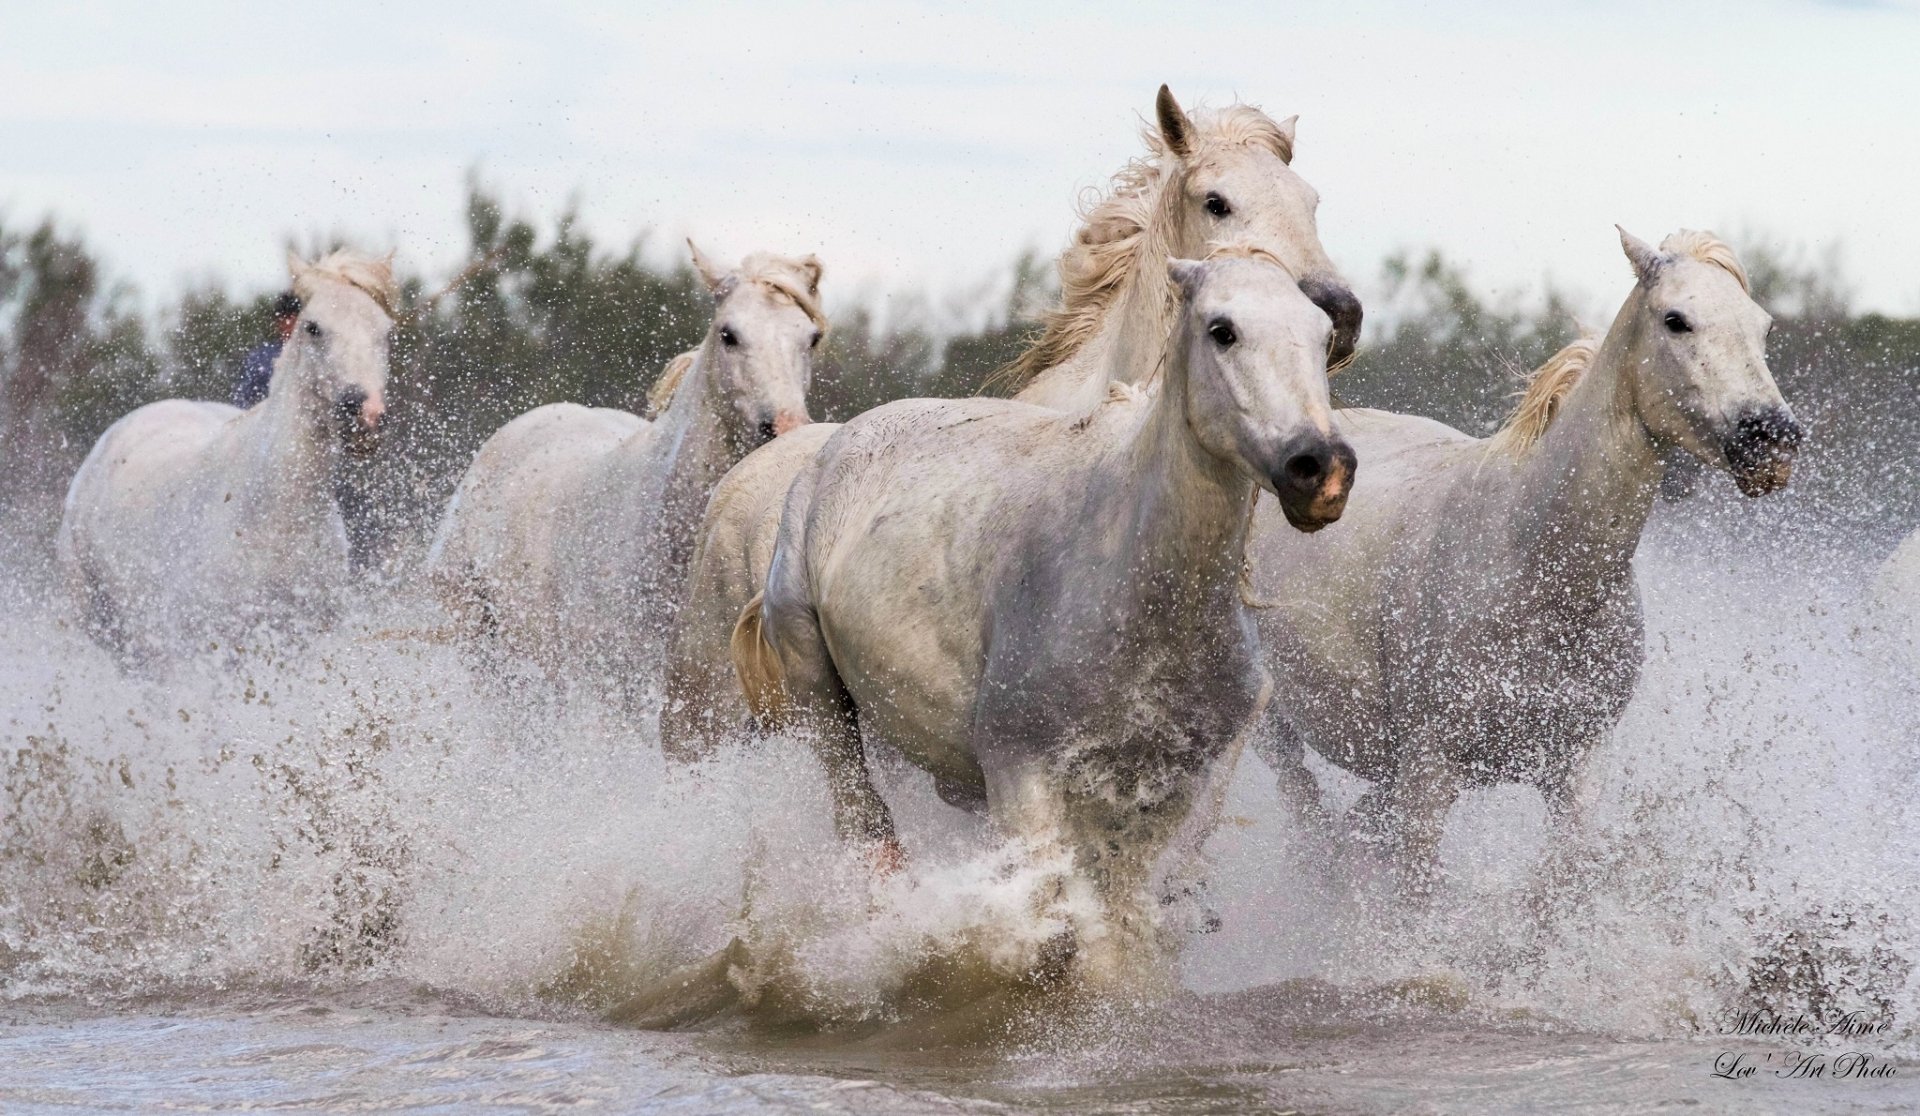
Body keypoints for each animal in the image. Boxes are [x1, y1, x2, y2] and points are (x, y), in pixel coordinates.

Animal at [731, 252, 1355, 980]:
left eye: (1321, 335)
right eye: (1222, 330)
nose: (1322, 469)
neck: (1138, 594)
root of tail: (829, 454)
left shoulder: (1173, 793)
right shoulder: (1020, 773)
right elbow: (1060, 935)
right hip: (824, 707)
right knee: (869, 833)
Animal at [1244, 228, 1805, 896]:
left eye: (1763, 327)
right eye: (1676, 320)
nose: (1770, 438)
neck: (1532, 569)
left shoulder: (1573, 768)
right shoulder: (1429, 771)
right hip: (1275, 729)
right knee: (1305, 817)